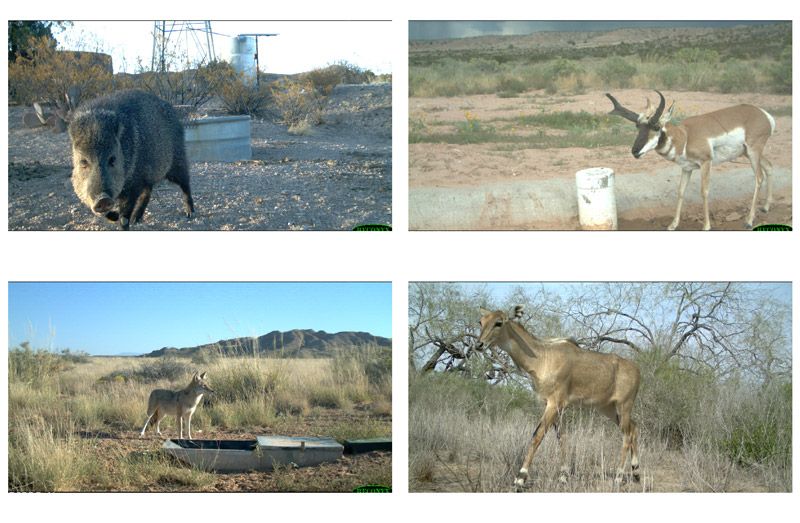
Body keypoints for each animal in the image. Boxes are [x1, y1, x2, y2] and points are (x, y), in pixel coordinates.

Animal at [478, 304, 640, 490]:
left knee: (626, 436)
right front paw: (563, 476)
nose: (479, 344)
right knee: (633, 428)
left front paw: (520, 478)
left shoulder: (554, 403)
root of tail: (637, 371)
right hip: (609, 409)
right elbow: (561, 437)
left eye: (499, 322)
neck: (542, 357)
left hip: (624, 406)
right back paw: (636, 473)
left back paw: (619, 477)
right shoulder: (553, 405)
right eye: (481, 321)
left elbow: (537, 436)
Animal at [608, 90, 776, 231]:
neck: (685, 136)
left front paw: (706, 226)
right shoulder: (686, 168)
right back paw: (766, 207)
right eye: (638, 126)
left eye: (656, 127)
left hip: (753, 151)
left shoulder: (706, 163)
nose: (635, 151)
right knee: (769, 166)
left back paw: (749, 221)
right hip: (748, 153)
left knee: (759, 177)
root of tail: (763, 114)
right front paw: (673, 225)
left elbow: (704, 191)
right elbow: (681, 191)